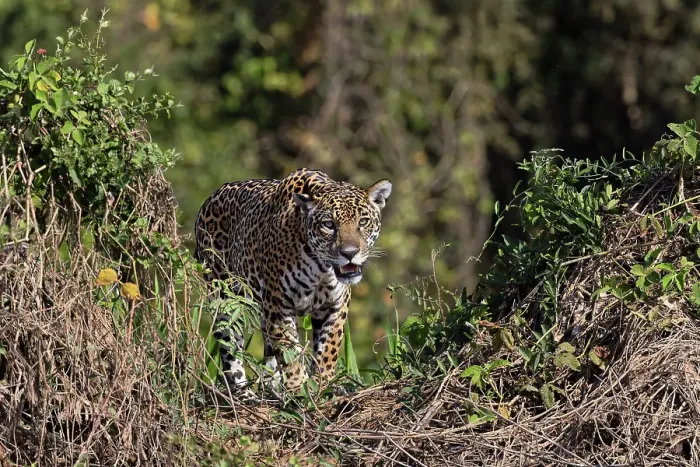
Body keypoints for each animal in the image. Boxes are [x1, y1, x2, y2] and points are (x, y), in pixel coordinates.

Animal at [194, 168, 392, 394]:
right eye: (329, 225)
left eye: (363, 222)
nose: (349, 253)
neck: (322, 268)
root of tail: (210, 198)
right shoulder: (279, 304)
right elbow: (290, 351)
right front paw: (299, 387)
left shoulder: (336, 305)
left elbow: (328, 349)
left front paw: (323, 385)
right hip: (225, 299)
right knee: (230, 348)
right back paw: (244, 393)